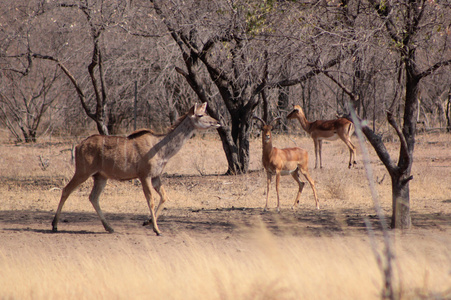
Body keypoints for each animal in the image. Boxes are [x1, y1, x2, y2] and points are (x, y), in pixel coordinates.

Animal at [52, 103, 222, 237]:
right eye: (200, 114)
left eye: (206, 112)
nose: (217, 122)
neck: (160, 148)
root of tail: (78, 146)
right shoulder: (144, 176)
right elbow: (151, 200)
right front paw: (157, 230)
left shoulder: (156, 177)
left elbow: (164, 197)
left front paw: (147, 222)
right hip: (83, 172)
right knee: (66, 190)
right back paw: (54, 225)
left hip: (101, 177)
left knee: (93, 197)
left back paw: (110, 228)